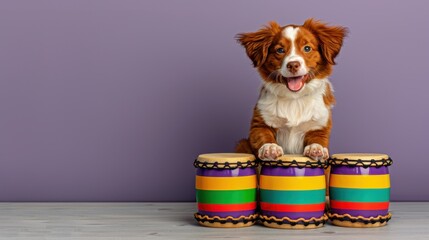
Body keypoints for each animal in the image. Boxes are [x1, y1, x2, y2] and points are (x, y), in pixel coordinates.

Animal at [234, 18, 348, 161]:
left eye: (307, 48)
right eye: (280, 50)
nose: (293, 65)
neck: (294, 98)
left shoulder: (319, 124)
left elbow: (318, 138)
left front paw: (316, 148)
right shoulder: (260, 122)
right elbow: (263, 135)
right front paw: (270, 147)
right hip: (242, 144)